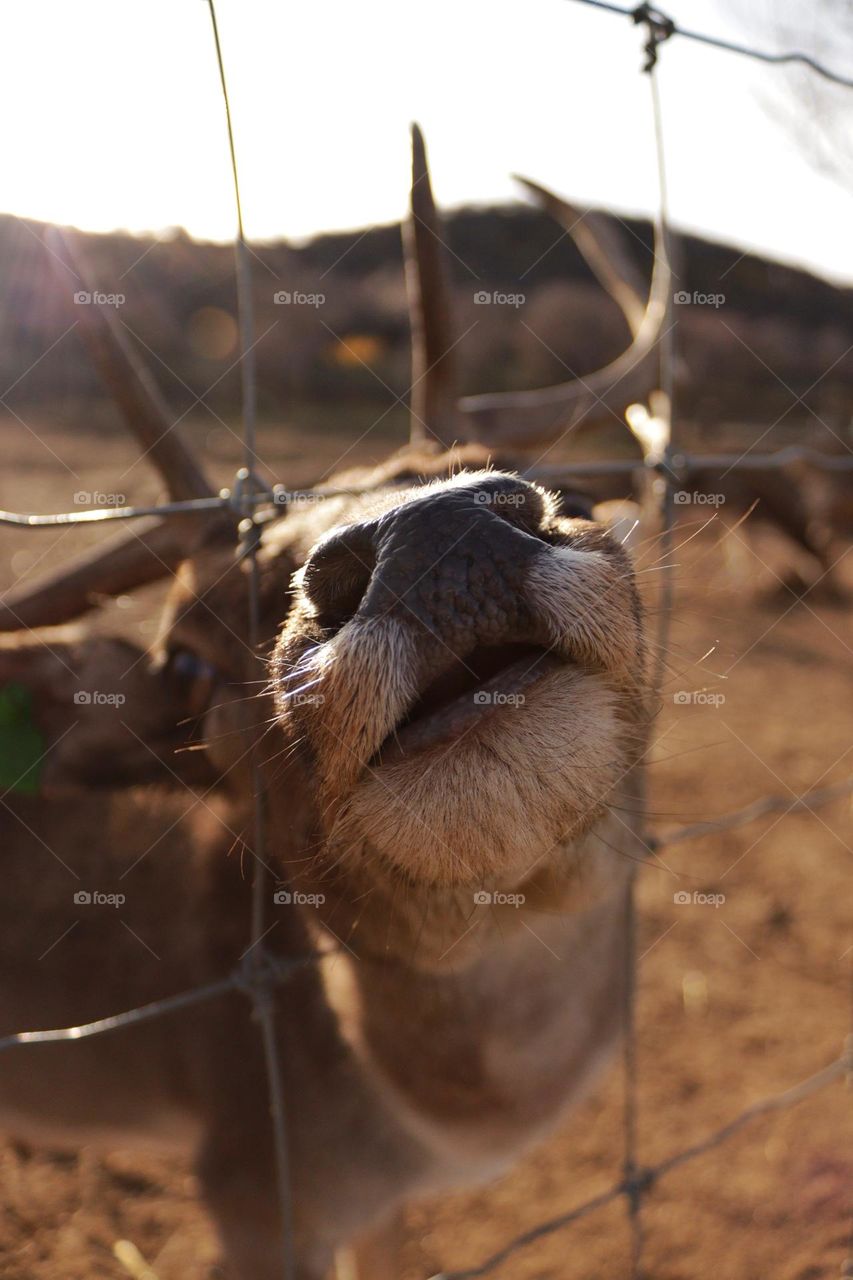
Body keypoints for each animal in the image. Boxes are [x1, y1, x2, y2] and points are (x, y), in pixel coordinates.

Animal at [0, 122, 653, 1280]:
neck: (429, 1120)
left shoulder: (375, 1203)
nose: (428, 538)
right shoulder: (252, 1187)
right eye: (186, 660)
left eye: (566, 489)